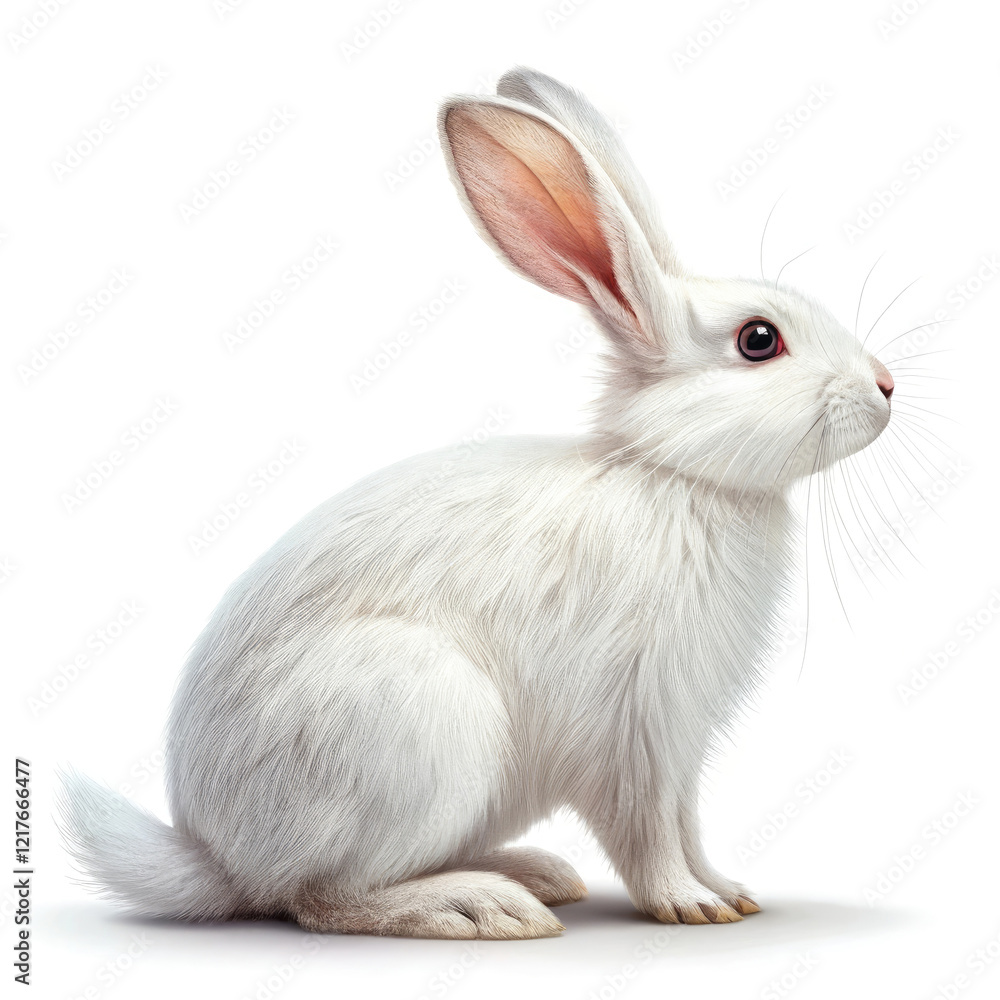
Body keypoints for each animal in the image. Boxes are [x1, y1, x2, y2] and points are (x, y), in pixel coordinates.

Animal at [59, 67, 895, 940]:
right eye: (759, 341)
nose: (886, 388)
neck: (673, 474)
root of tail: (219, 857)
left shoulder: (679, 742)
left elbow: (686, 821)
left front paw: (728, 894)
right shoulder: (633, 730)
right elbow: (647, 828)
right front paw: (686, 903)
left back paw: (533, 873)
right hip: (416, 721)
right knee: (320, 897)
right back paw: (478, 905)